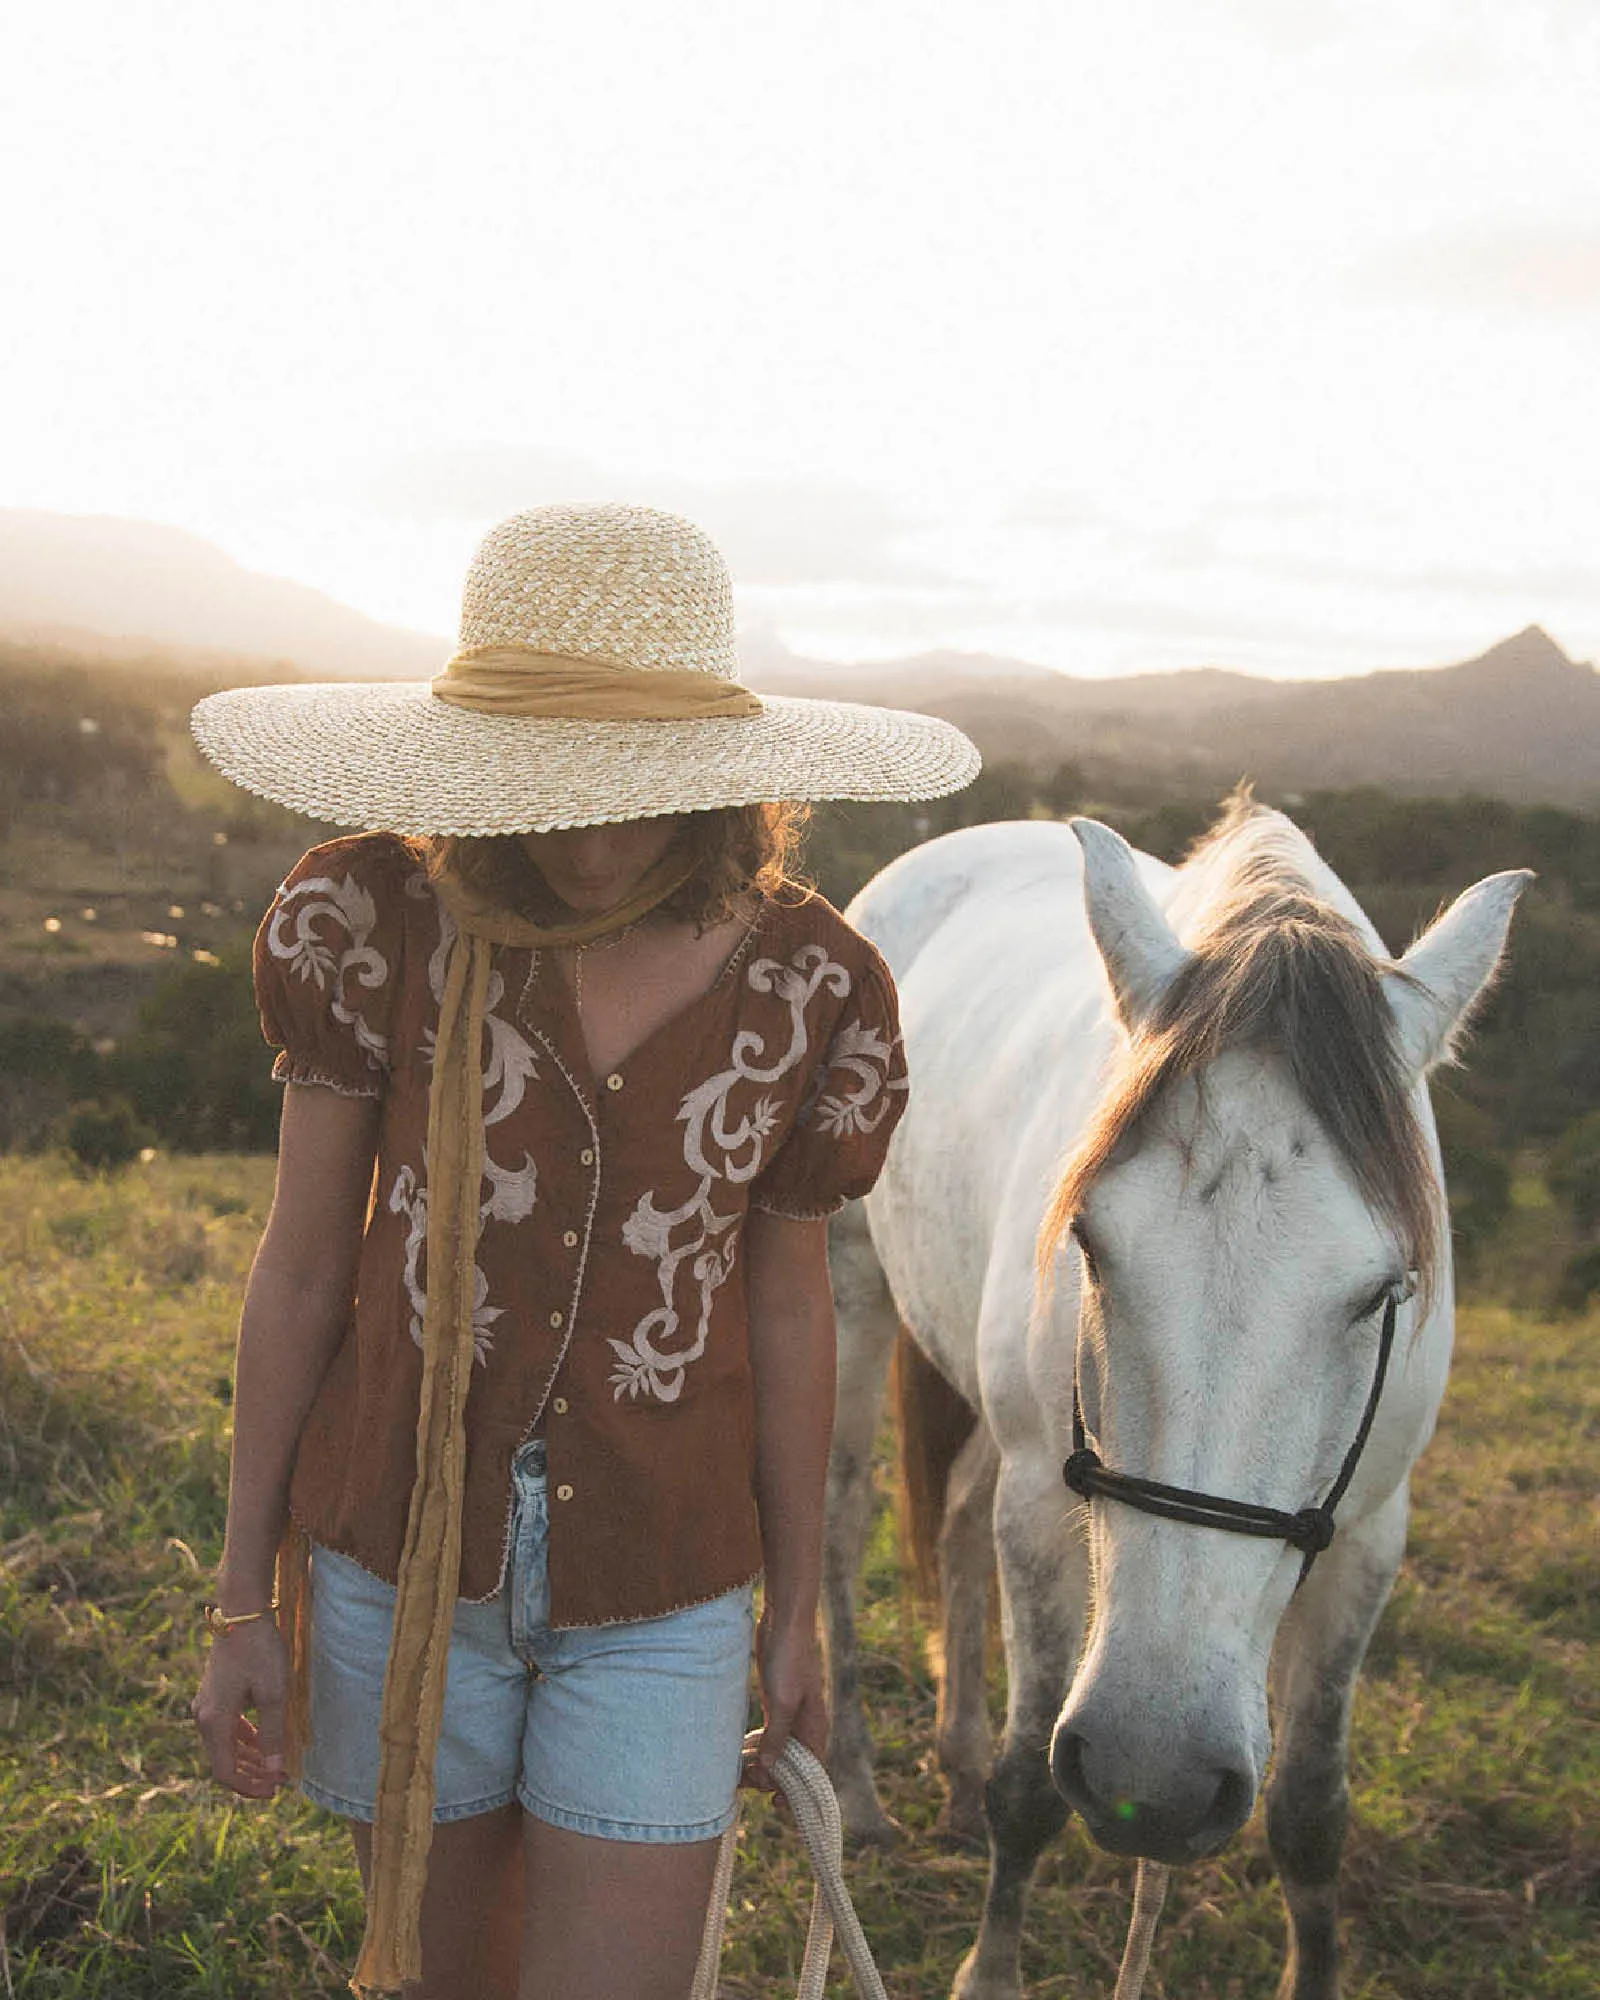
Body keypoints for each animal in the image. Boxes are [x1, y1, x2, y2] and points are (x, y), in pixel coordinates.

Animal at [824, 800, 1528, 2000]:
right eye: (1091, 1243)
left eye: (1382, 1292)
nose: (1148, 1774)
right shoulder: (1041, 1500)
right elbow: (1030, 1785)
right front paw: (990, 1967)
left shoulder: (1370, 1537)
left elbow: (1309, 1814)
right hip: (853, 1291)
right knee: (839, 1513)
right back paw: (856, 1786)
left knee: (951, 1523)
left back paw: (951, 1762)